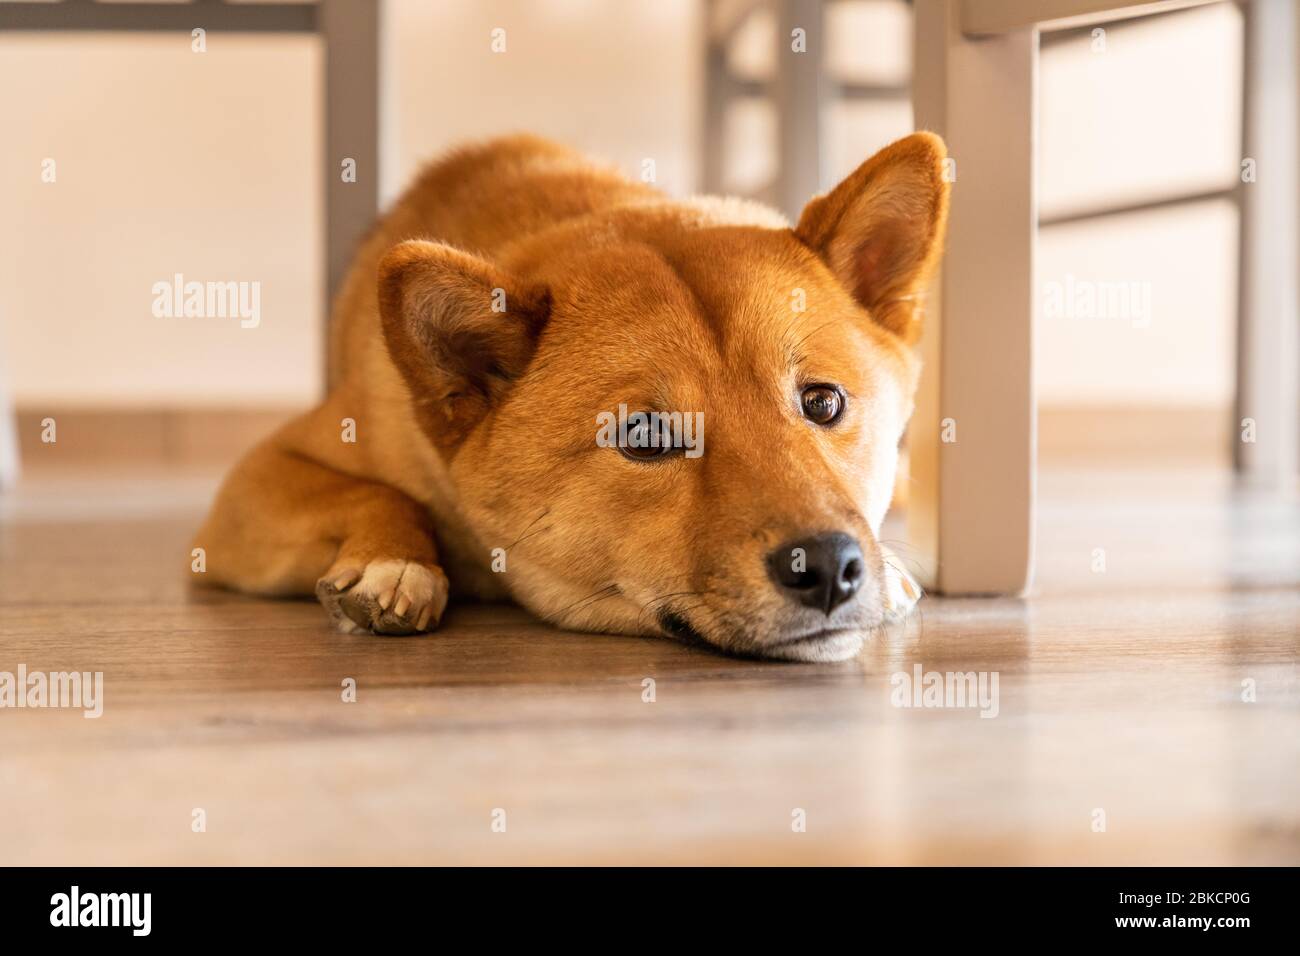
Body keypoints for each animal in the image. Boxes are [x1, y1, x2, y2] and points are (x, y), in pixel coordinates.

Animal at [195, 132, 946, 658]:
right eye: (645, 436)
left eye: (823, 403)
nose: (828, 567)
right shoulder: (251, 484)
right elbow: (377, 493)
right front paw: (396, 563)